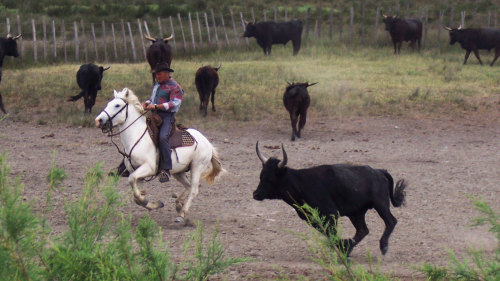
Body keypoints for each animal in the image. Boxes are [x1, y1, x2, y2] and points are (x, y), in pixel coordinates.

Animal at [95, 88, 225, 223]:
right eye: (108, 103)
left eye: (117, 105)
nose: (98, 120)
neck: (137, 137)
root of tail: (207, 142)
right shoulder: (135, 171)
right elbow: (138, 194)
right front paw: (153, 204)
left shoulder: (148, 168)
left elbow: (132, 182)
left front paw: (151, 203)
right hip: (179, 171)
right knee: (188, 186)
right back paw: (179, 204)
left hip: (197, 167)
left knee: (194, 190)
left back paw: (182, 213)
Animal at [252, 143, 408, 255]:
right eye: (261, 176)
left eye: (271, 178)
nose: (256, 194)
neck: (300, 183)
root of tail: (378, 171)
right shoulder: (313, 218)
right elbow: (327, 233)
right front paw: (342, 247)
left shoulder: (330, 213)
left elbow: (331, 232)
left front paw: (341, 247)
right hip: (356, 213)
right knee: (363, 230)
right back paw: (348, 248)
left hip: (380, 204)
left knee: (391, 221)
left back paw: (383, 246)